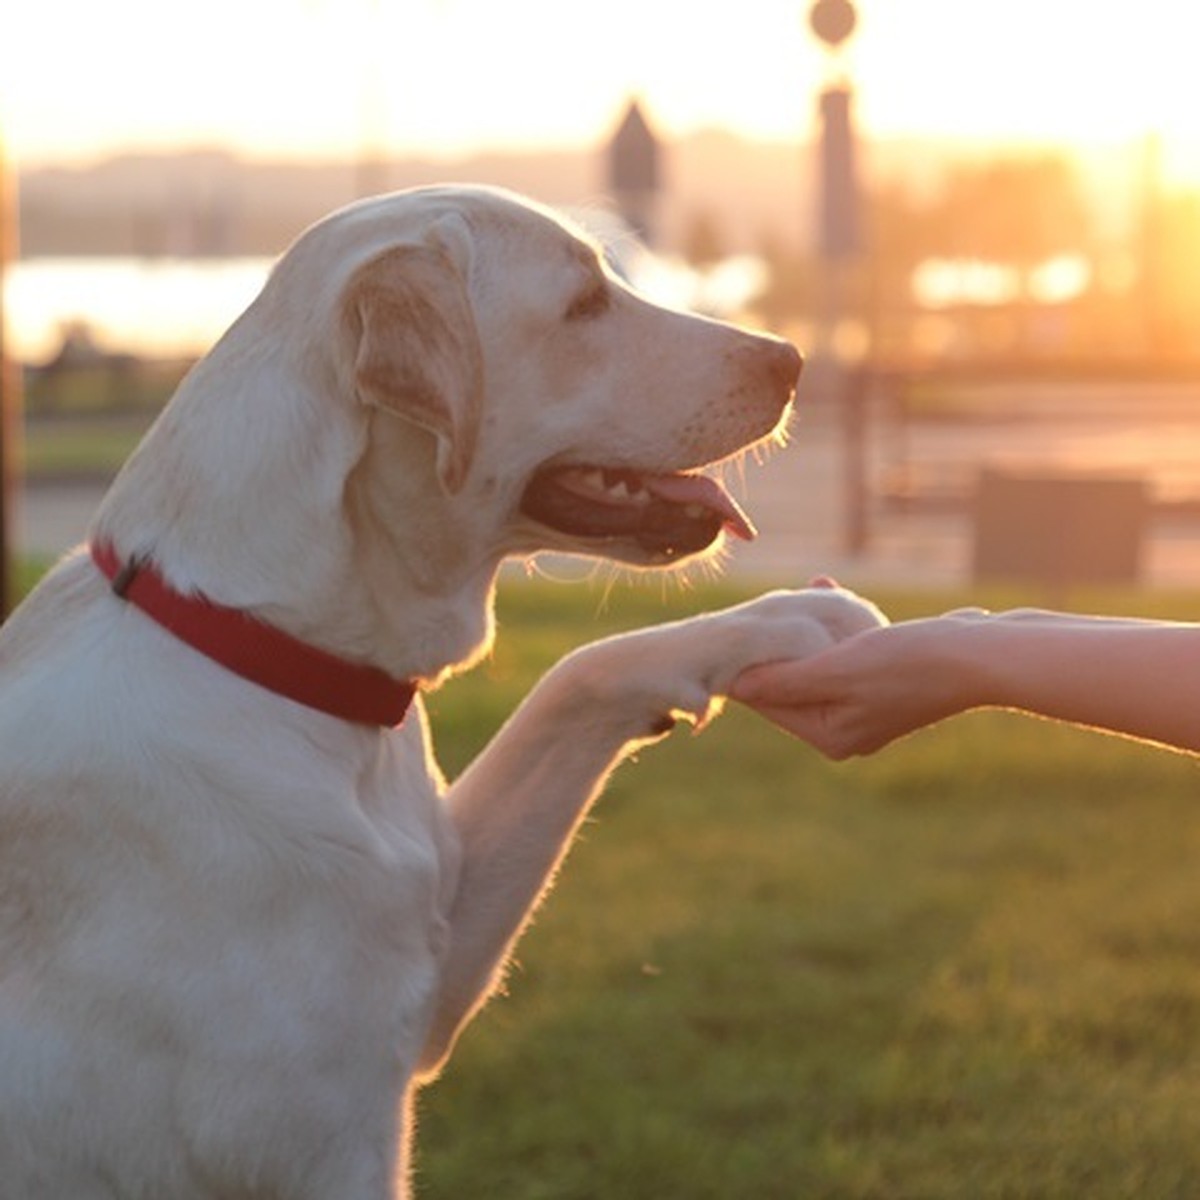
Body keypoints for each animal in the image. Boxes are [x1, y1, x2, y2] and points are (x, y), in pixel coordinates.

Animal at [0, 182, 883, 1195]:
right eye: (585, 303)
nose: (793, 359)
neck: (263, 646)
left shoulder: (434, 967)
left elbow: (576, 676)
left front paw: (784, 619)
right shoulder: (326, 1145)